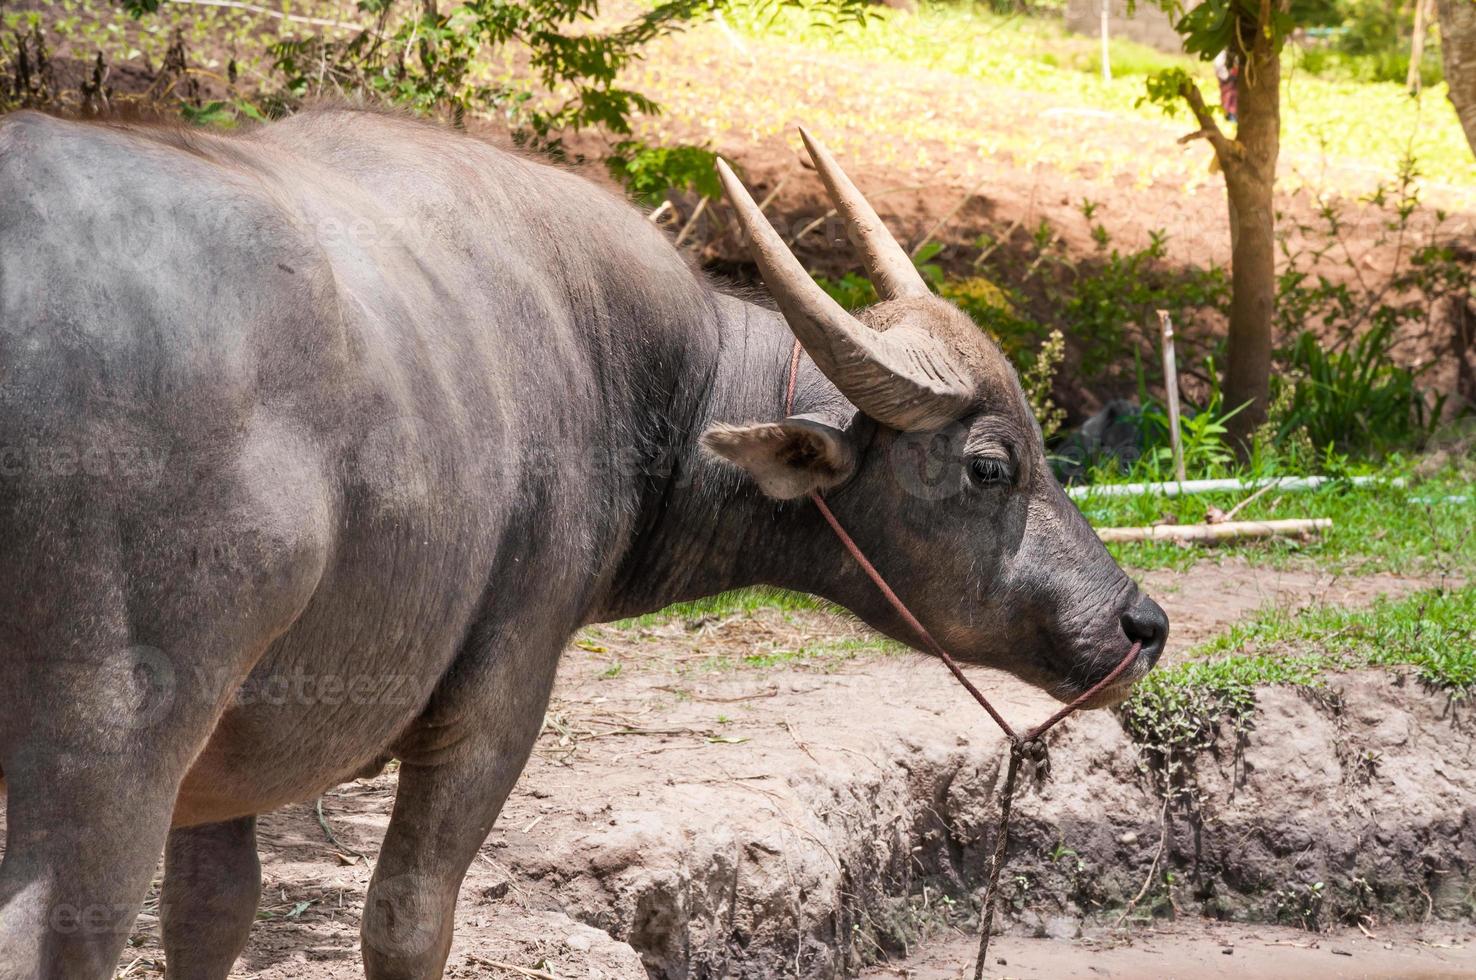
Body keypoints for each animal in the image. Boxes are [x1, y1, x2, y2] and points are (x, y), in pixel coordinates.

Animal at [0, 107, 1168, 980]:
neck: (646, 377)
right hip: (107, 751)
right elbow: (407, 920)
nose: (1141, 622)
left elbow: (214, 914)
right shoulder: (494, 703)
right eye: (991, 465)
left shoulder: (233, 761)